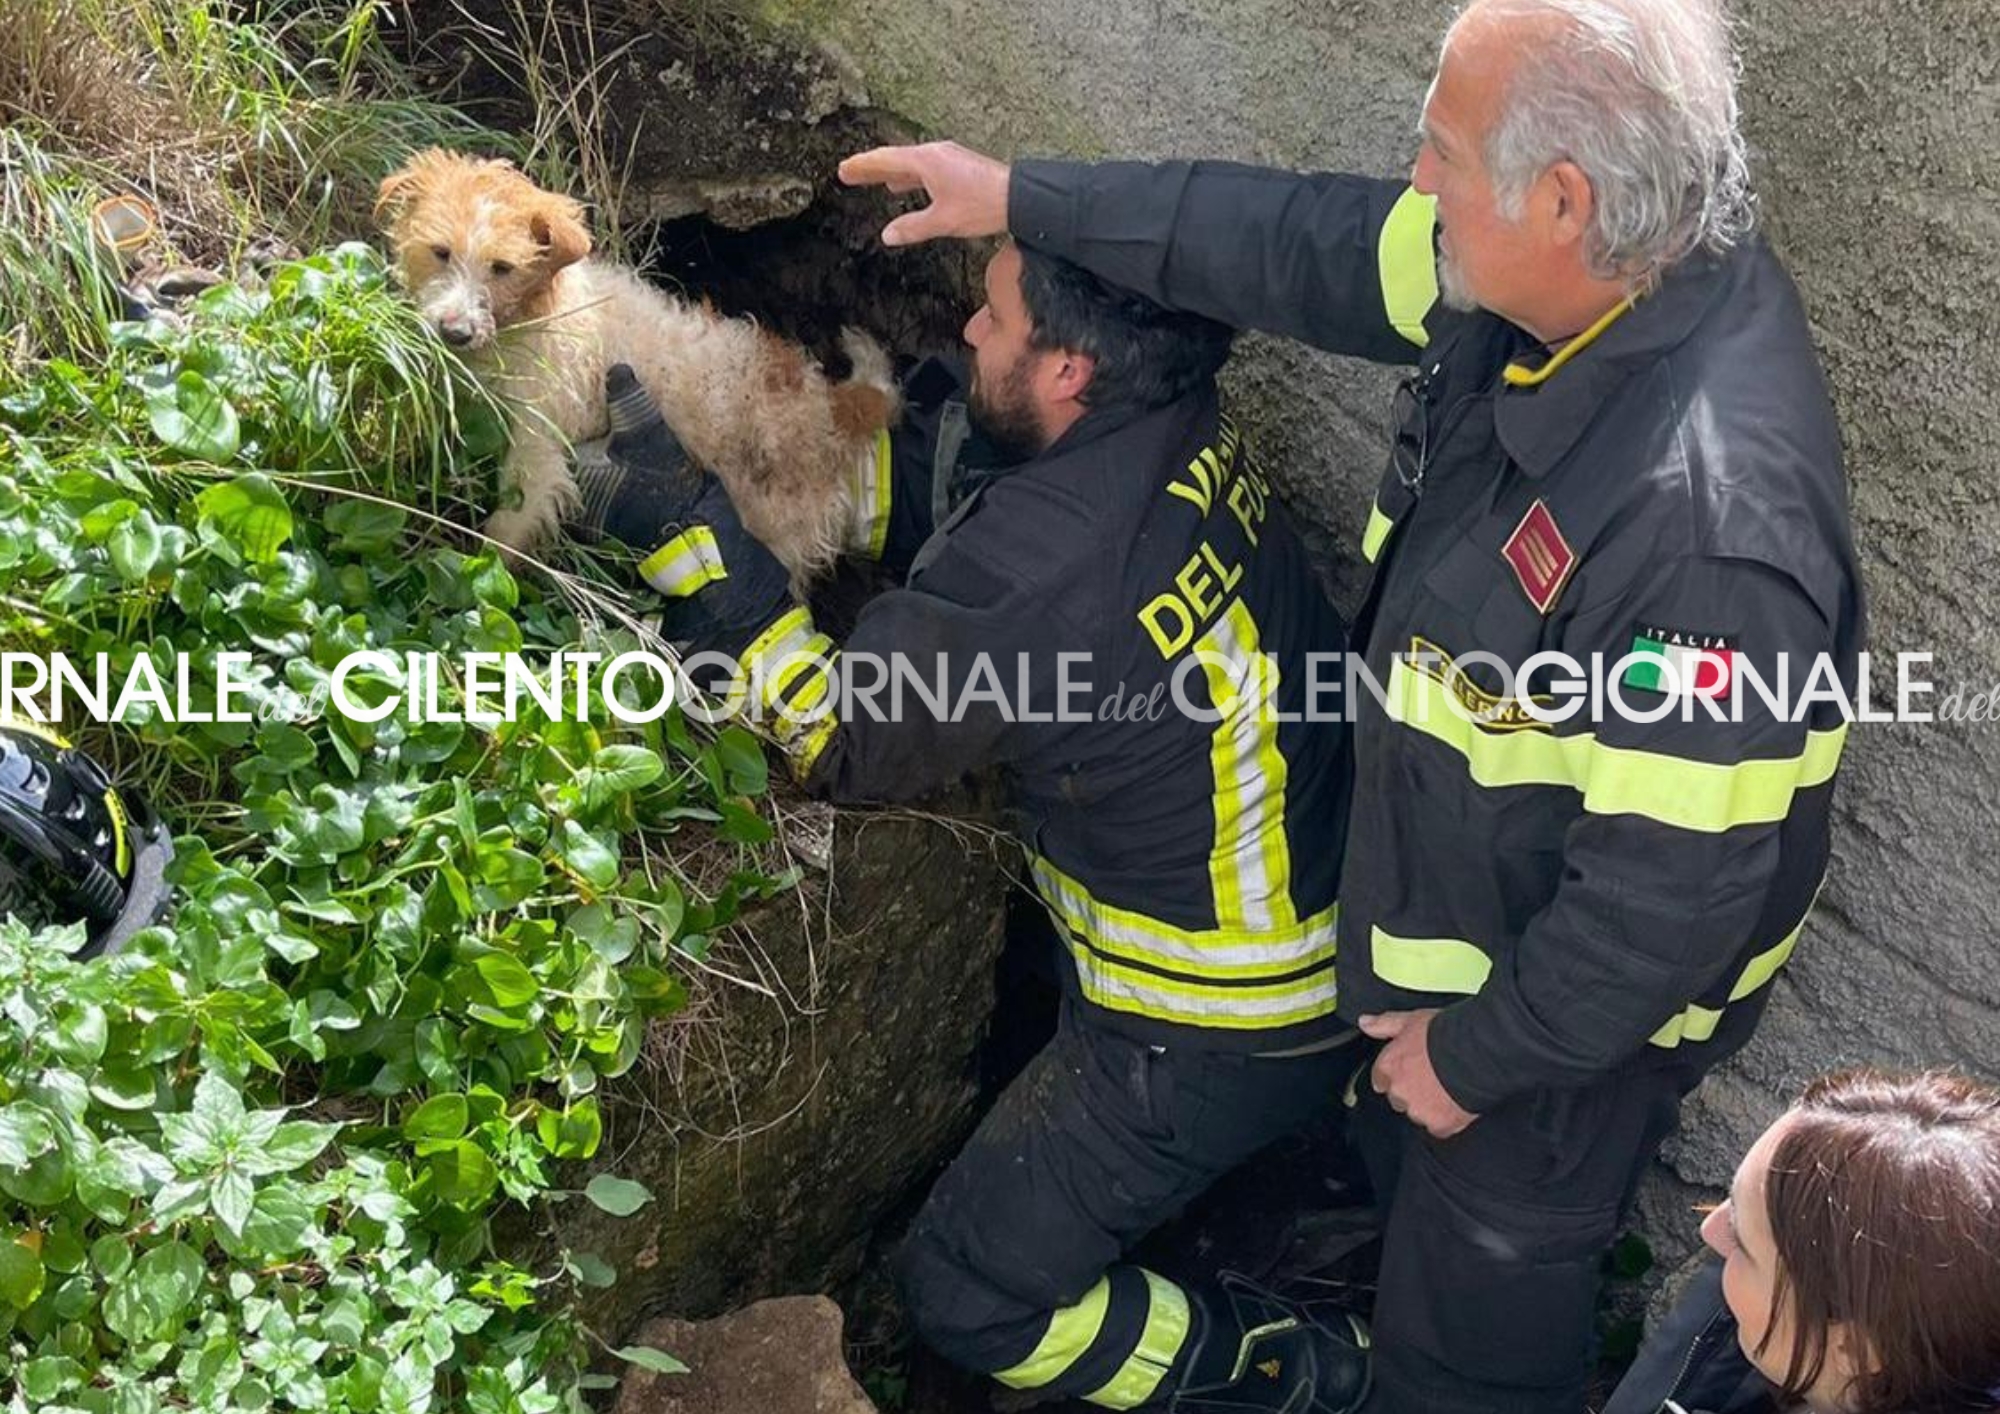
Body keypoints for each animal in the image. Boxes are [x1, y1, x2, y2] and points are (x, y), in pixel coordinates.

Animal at [378, 152, 896, 596]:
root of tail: (831, 404)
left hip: (776, 532)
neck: (540, 316)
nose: (455, 332)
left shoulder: (537, 453)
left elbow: (505, 534)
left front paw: (481, 577)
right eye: (441, 252)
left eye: (502, 267)